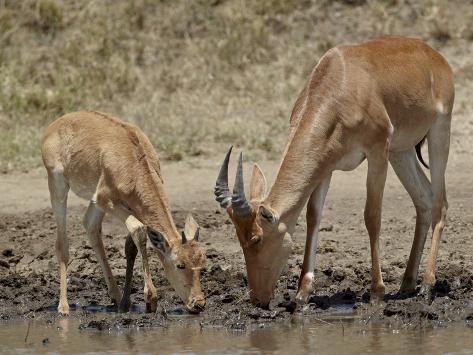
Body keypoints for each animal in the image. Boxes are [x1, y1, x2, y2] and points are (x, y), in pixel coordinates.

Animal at [42, 110, 206, 314]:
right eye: (180, 265)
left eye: (202, 262)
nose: (198, 304)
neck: (133, 157)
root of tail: (57, 124)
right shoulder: (106, 200)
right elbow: (138, 229)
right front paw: (151, 298)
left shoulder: (130, 205)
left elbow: (131, 245)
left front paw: (128, 303)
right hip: (59, 186)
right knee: (62, 243)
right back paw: (63, 306)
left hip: (94, 202)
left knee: (91, 228)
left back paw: (117, 298)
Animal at [215, 36, 454, 308]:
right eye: (239, 238)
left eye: (256, 239)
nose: (258, 299)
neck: (341, 78)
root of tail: (434, 56)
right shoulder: (325, 166)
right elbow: (313, 216)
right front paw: (302, 293)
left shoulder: (377, 151)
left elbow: (372, 216)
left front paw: (377, 291)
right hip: (400, 152)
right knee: (423, 200)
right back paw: (407, 284)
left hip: (438, 132)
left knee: (440, 203)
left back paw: (427, 285)